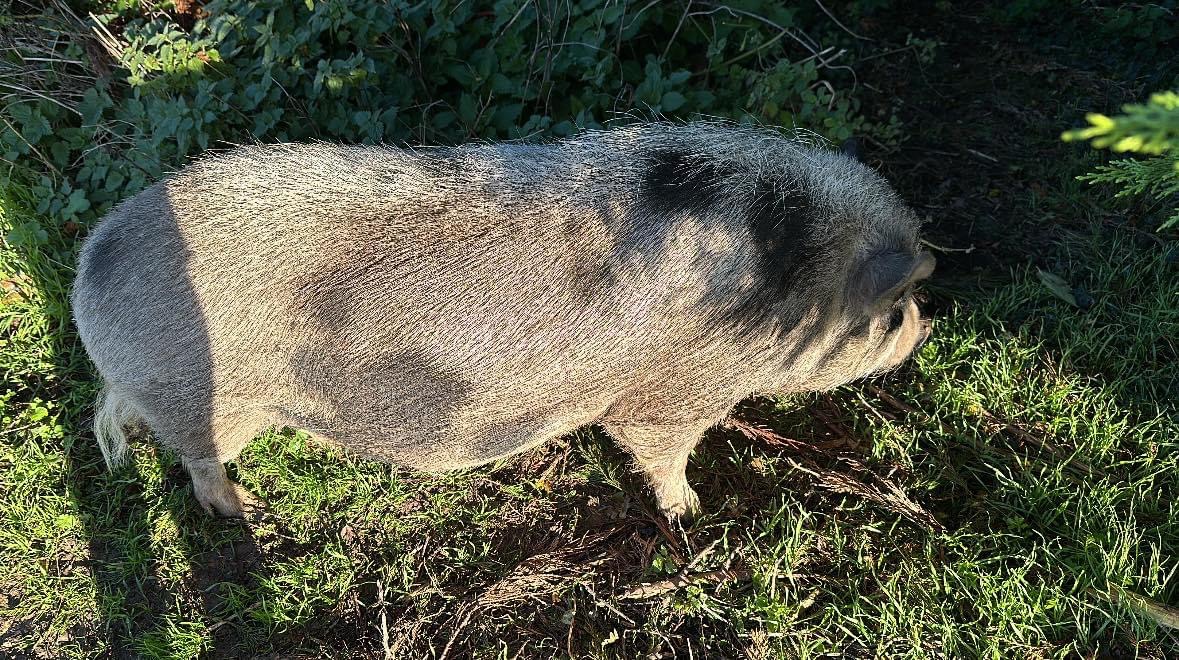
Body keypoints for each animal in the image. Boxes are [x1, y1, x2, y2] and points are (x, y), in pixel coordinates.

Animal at [71, 122, 934, 519]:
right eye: (889, 313)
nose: (923, 320)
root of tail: (90, 269)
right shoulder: (675, 396)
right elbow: (656, 448)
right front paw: (690, 512)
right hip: (212, 401)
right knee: (196, 462)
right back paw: (244, 510)